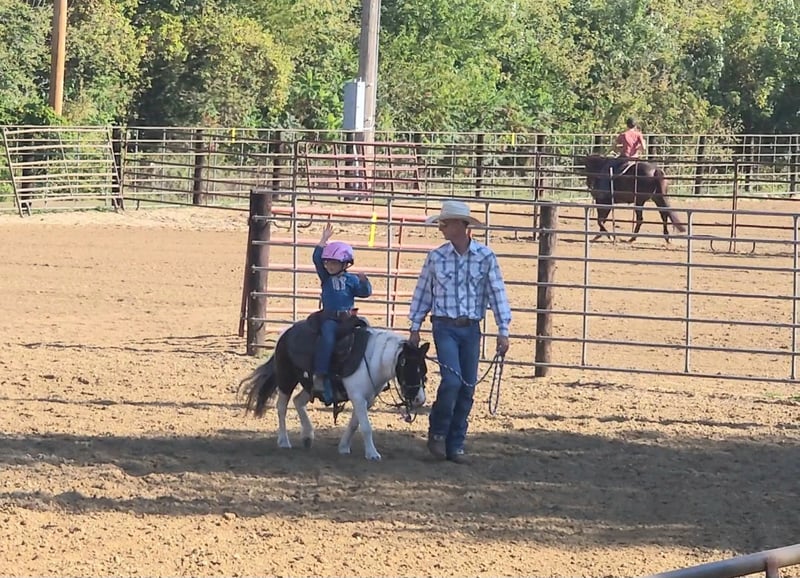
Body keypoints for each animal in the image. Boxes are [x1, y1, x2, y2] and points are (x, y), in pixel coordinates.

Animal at [239, 317, 429, 461]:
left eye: (424, 370)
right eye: (409, 367)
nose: (420, 399)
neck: (372, 358)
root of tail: (285, 334)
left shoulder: (366, 400)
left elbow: (354, 424)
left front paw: (343, 447)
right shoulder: (358, 397)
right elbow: (366, 427)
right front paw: (372, 454)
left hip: (310, 386)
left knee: (298, 401)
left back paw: (307, 436)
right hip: (287, 380)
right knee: (282, 408)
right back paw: (284, 441)